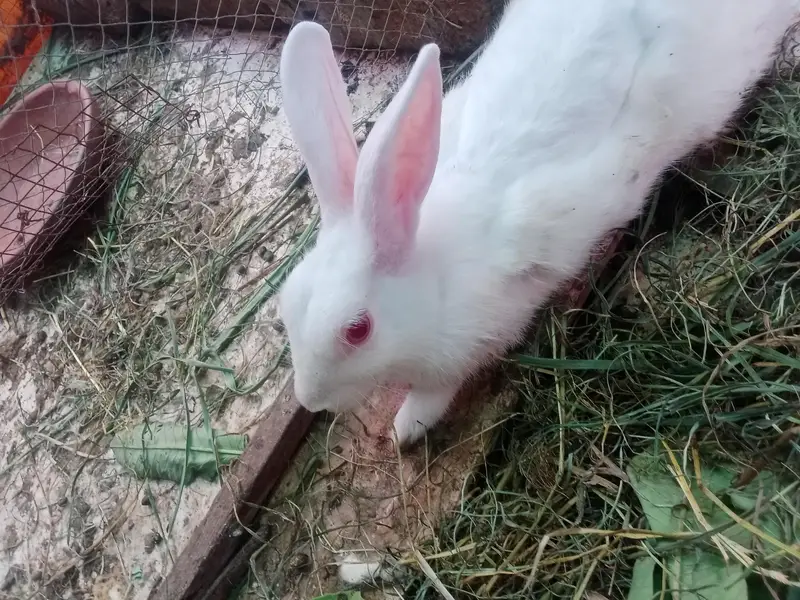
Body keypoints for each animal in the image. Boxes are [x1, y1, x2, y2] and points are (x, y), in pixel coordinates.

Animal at [277, 0, 799, 446]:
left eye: (357, 330)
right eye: (286, 305)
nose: (310, 399)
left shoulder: (477, 339)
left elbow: (437, 392)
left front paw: (407, 427)